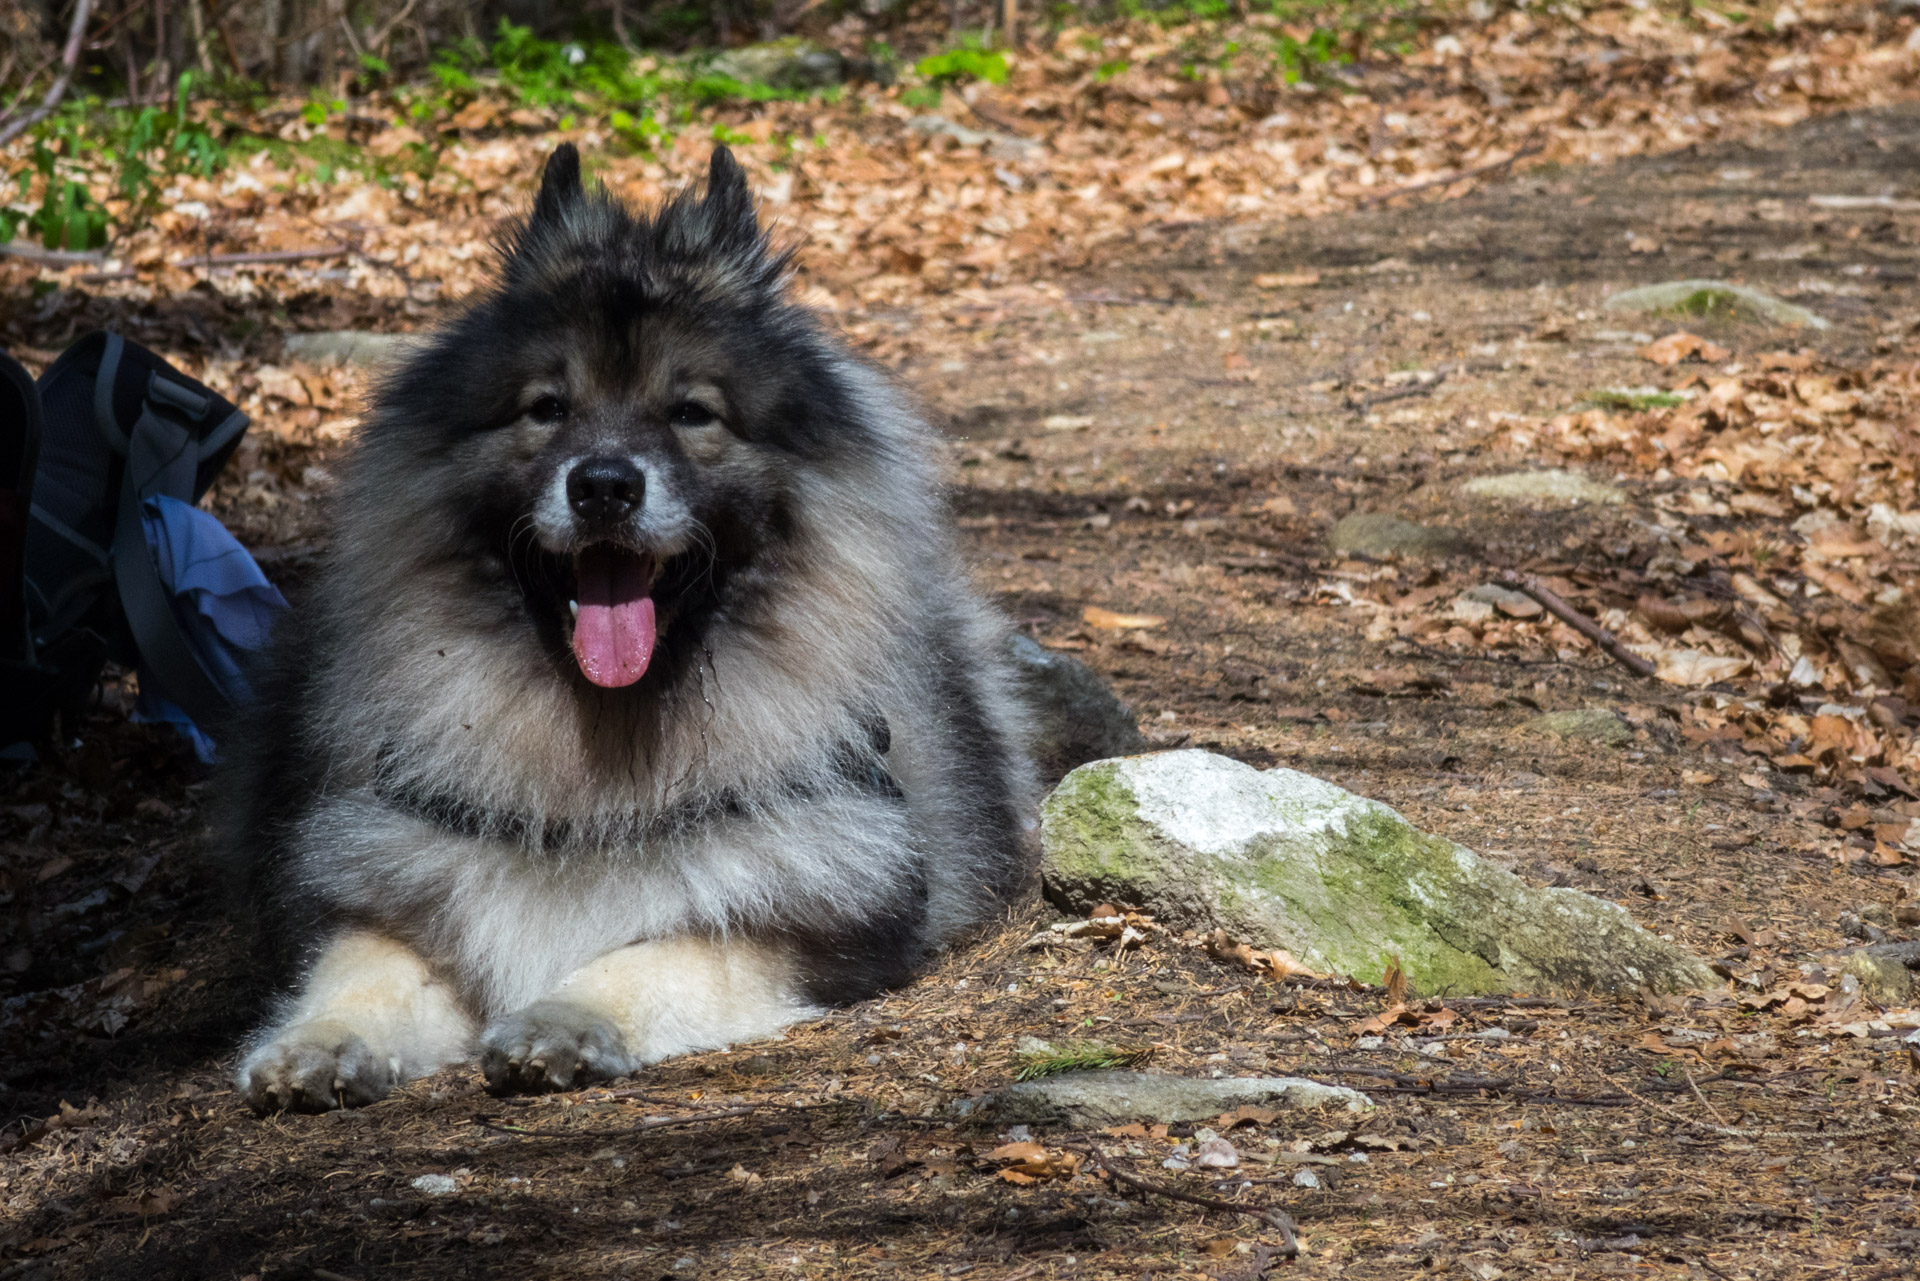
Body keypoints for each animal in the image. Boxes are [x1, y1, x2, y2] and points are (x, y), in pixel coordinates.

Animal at [219, 145, 1036, 1113]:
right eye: (547, 408)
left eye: (691, 412)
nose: (604, 484)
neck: (597, 759)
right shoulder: (398, 883)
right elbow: (358, 973)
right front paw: (315, 1045)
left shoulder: (804, 919)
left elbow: (653, 956)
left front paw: (562, 1019)